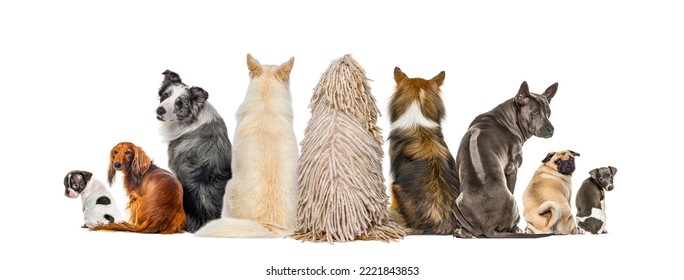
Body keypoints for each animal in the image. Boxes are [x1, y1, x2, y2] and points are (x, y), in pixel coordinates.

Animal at [454, 81, 556, 238]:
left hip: (456, 203)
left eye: (549, 112)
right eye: (534, 112)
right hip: (514, 204)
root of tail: (488, 226)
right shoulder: (512, 169)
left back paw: (461, 232)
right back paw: (516, 229)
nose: (551, 129)